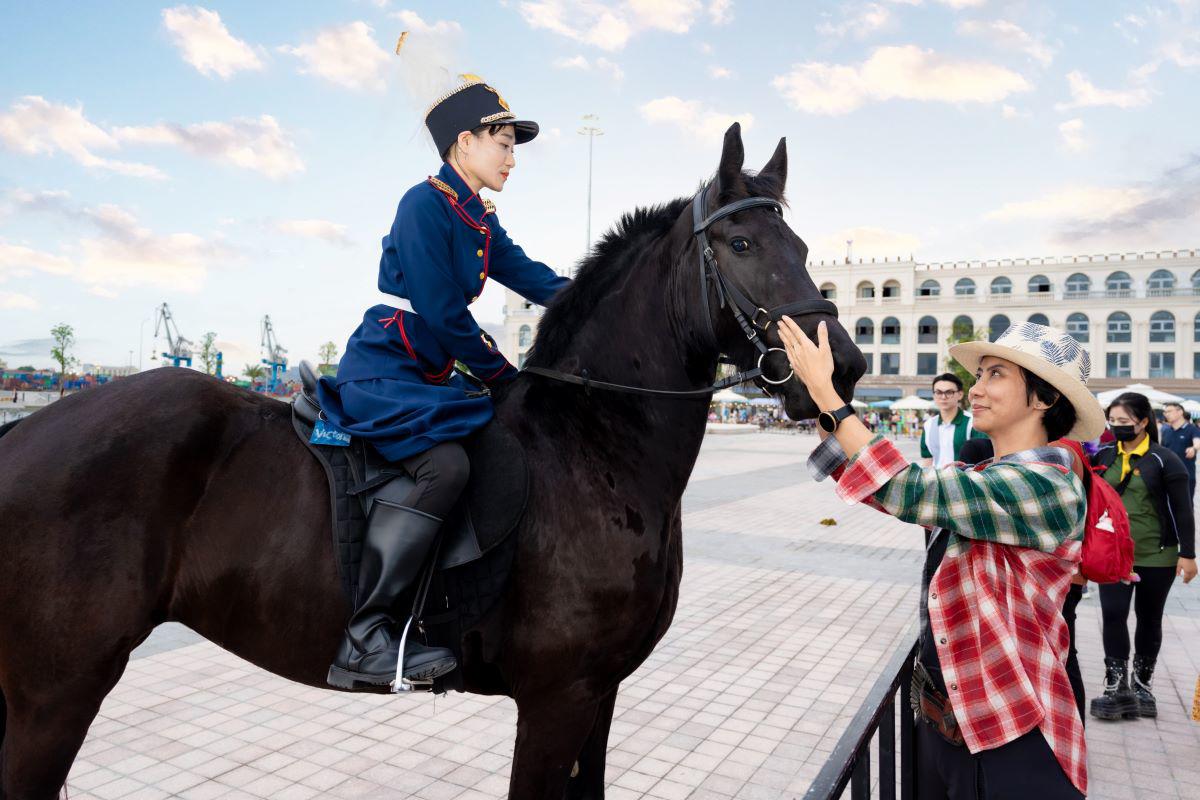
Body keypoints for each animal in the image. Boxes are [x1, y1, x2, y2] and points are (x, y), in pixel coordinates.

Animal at [0, 123, 866, 800]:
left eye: (803, 247)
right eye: (742, 244)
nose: (847, 367)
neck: (592, 447)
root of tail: (25, 430)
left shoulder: (601, 695)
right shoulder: (556, 699)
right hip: (55, 692)